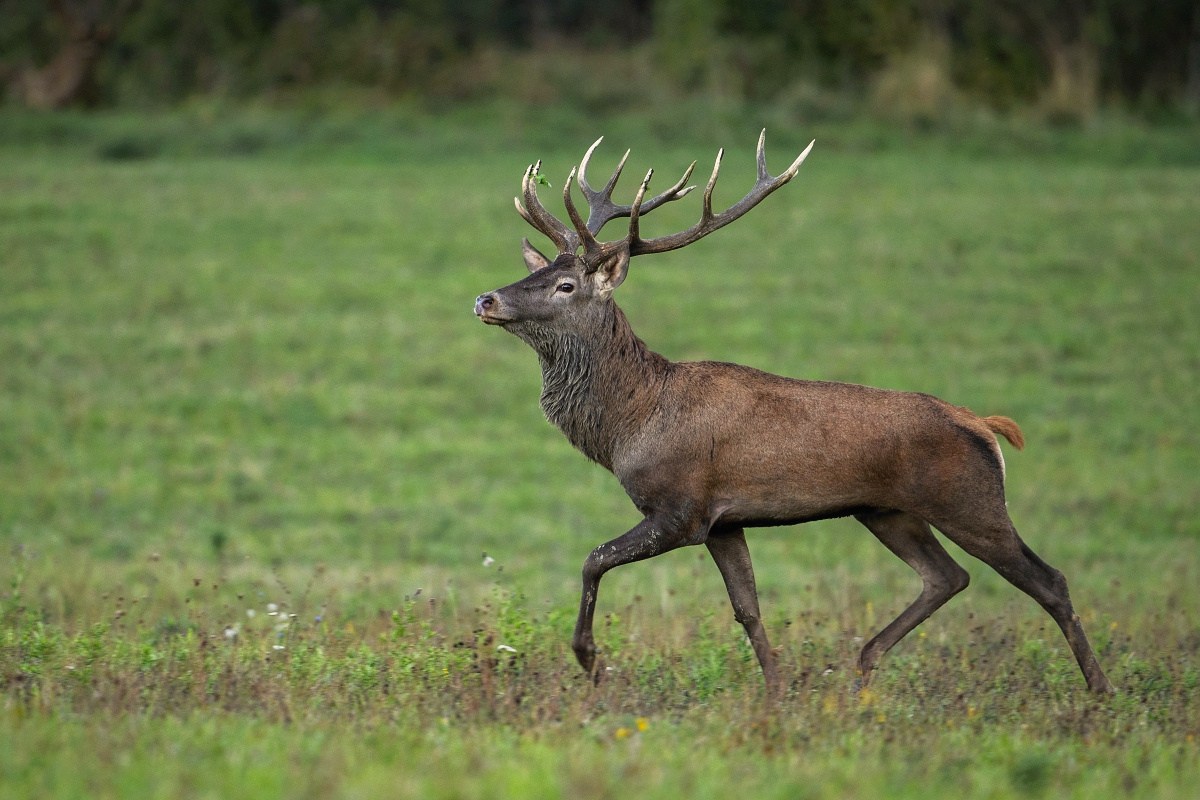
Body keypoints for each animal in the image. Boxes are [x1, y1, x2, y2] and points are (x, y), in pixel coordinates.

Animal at [470, 131, 1113, 700]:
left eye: (564, 284)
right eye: (532, 271)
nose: (485, 298)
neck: (630, 423)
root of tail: (985, 426)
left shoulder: (681, 509)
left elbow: (593, 560)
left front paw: (591, 662)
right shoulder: (724, 521)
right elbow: (747, 610)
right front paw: (777, 694)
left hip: (971, 500)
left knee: (1047, 580)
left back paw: (1100, 690)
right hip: (887, 511)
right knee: (946, 577)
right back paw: (864, 664)